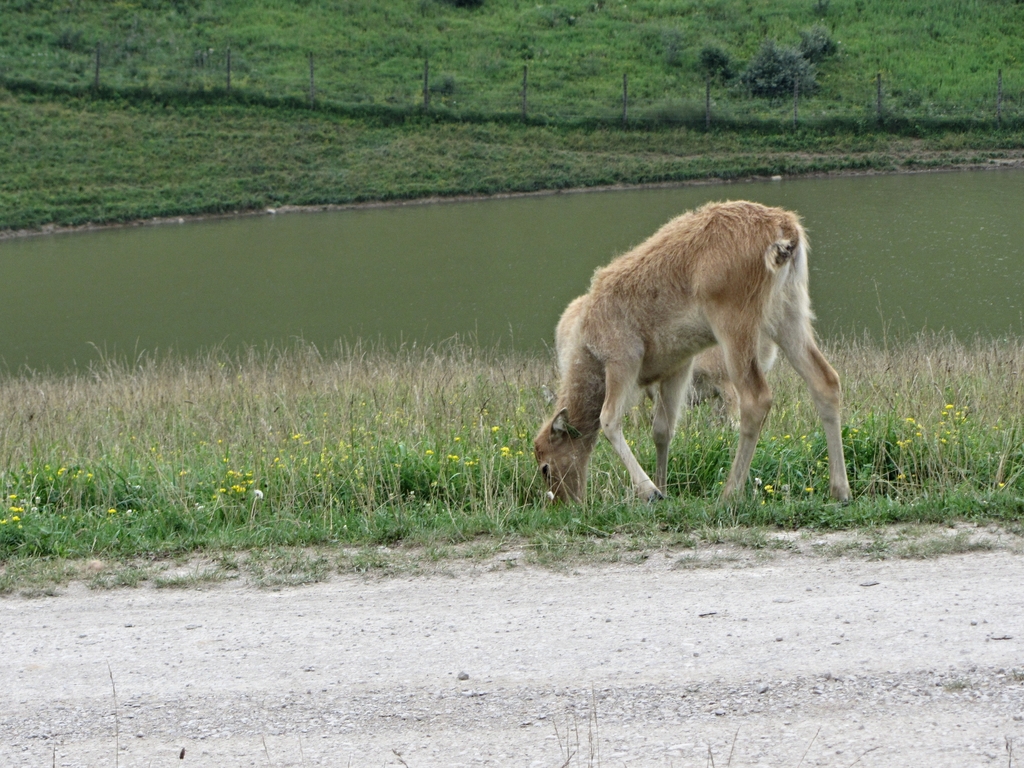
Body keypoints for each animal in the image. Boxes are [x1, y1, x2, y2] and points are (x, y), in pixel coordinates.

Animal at [534, 200, 851, 504]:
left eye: (545, 466)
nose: (564, 503)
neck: (587, 353)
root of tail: (787, 235)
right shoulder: (678, 365)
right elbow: (662, 429)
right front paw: (663, 488)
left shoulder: (622, 356)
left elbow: (609, 419)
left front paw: (650, 491)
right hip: (789, 311)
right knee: (826, 380)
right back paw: (840, 490)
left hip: (735, 321)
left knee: (756, 398)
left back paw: (729, 493)